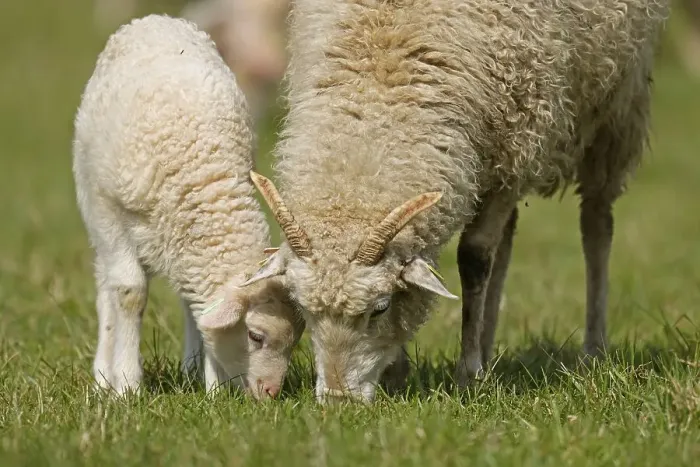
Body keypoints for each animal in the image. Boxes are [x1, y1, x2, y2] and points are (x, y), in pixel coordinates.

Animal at [72, 14, 304, 399]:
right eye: (255, 336)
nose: (270, 393)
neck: (202, 171)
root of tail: (156, 19)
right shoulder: (111, 214)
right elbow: (129, 293)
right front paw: (127, 386)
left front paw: (213, 391)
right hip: (93, 201)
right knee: (106, 282)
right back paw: (104, 374)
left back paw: (190, 369)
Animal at [239, 0, 670, 403]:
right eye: (303, 309)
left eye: (380, 308)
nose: (337, 401)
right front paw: (400, 370)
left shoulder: (517, 144)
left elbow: (474, 259)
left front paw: (468, 374)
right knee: (508, 237)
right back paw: (489, 344)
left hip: (616, 105)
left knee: (595, 222)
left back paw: (591, 351)